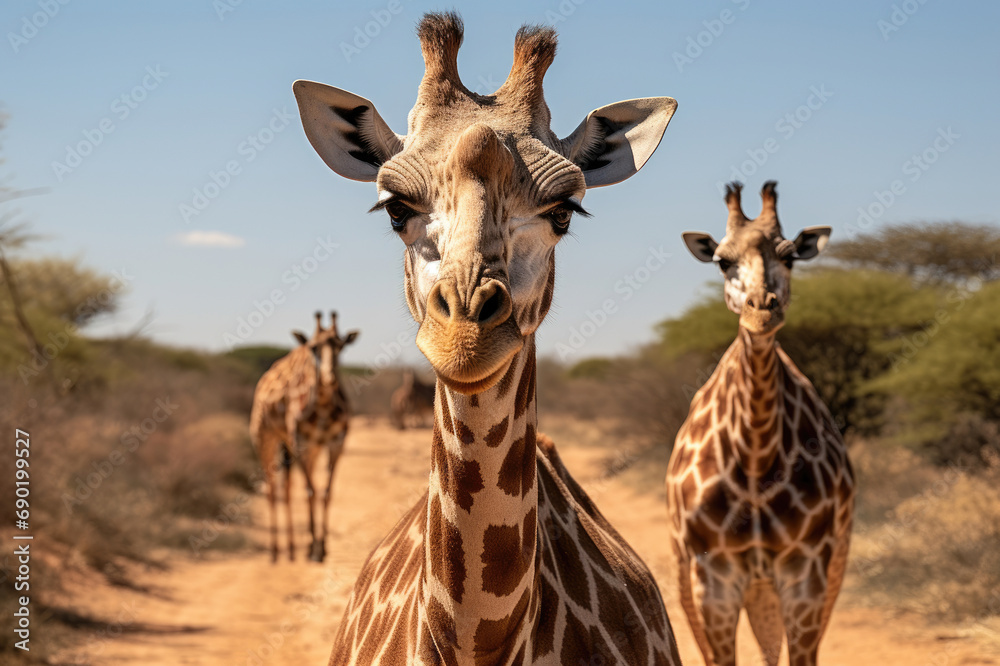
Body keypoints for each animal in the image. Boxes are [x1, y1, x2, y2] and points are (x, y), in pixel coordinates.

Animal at [249, 311, 359, 563]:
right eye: (314, 347)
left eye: (341, 346)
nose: (329, 378)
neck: (323, 406)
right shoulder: (299, 442)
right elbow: (310, 491)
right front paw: (312, 549)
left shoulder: (336, 442)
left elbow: (326, 492)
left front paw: (322, 547)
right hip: (265, 438)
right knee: (272, 488)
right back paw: (275, 552)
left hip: (305, 448)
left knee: (287, 487)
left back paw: (290, 551)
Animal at [665, 182, 855, 666]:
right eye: (721, 261)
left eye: (790, 257)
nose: (761, 311)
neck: (754, 458)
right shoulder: (713, 577)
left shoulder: (806, 572)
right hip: (696, 577)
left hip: (818, 571)